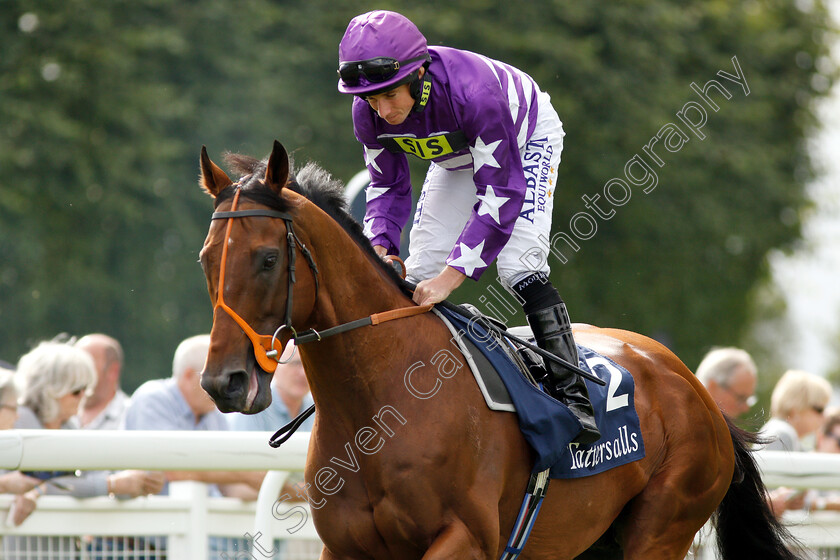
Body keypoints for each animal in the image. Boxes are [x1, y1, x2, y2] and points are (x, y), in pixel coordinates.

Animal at [197, 141, 800, 560]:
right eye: (206, 259)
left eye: (268, 258)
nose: (223, 382)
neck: (381, 410)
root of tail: (695, 389)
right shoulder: (346, 546)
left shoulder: (467, 538)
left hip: (661, 527)